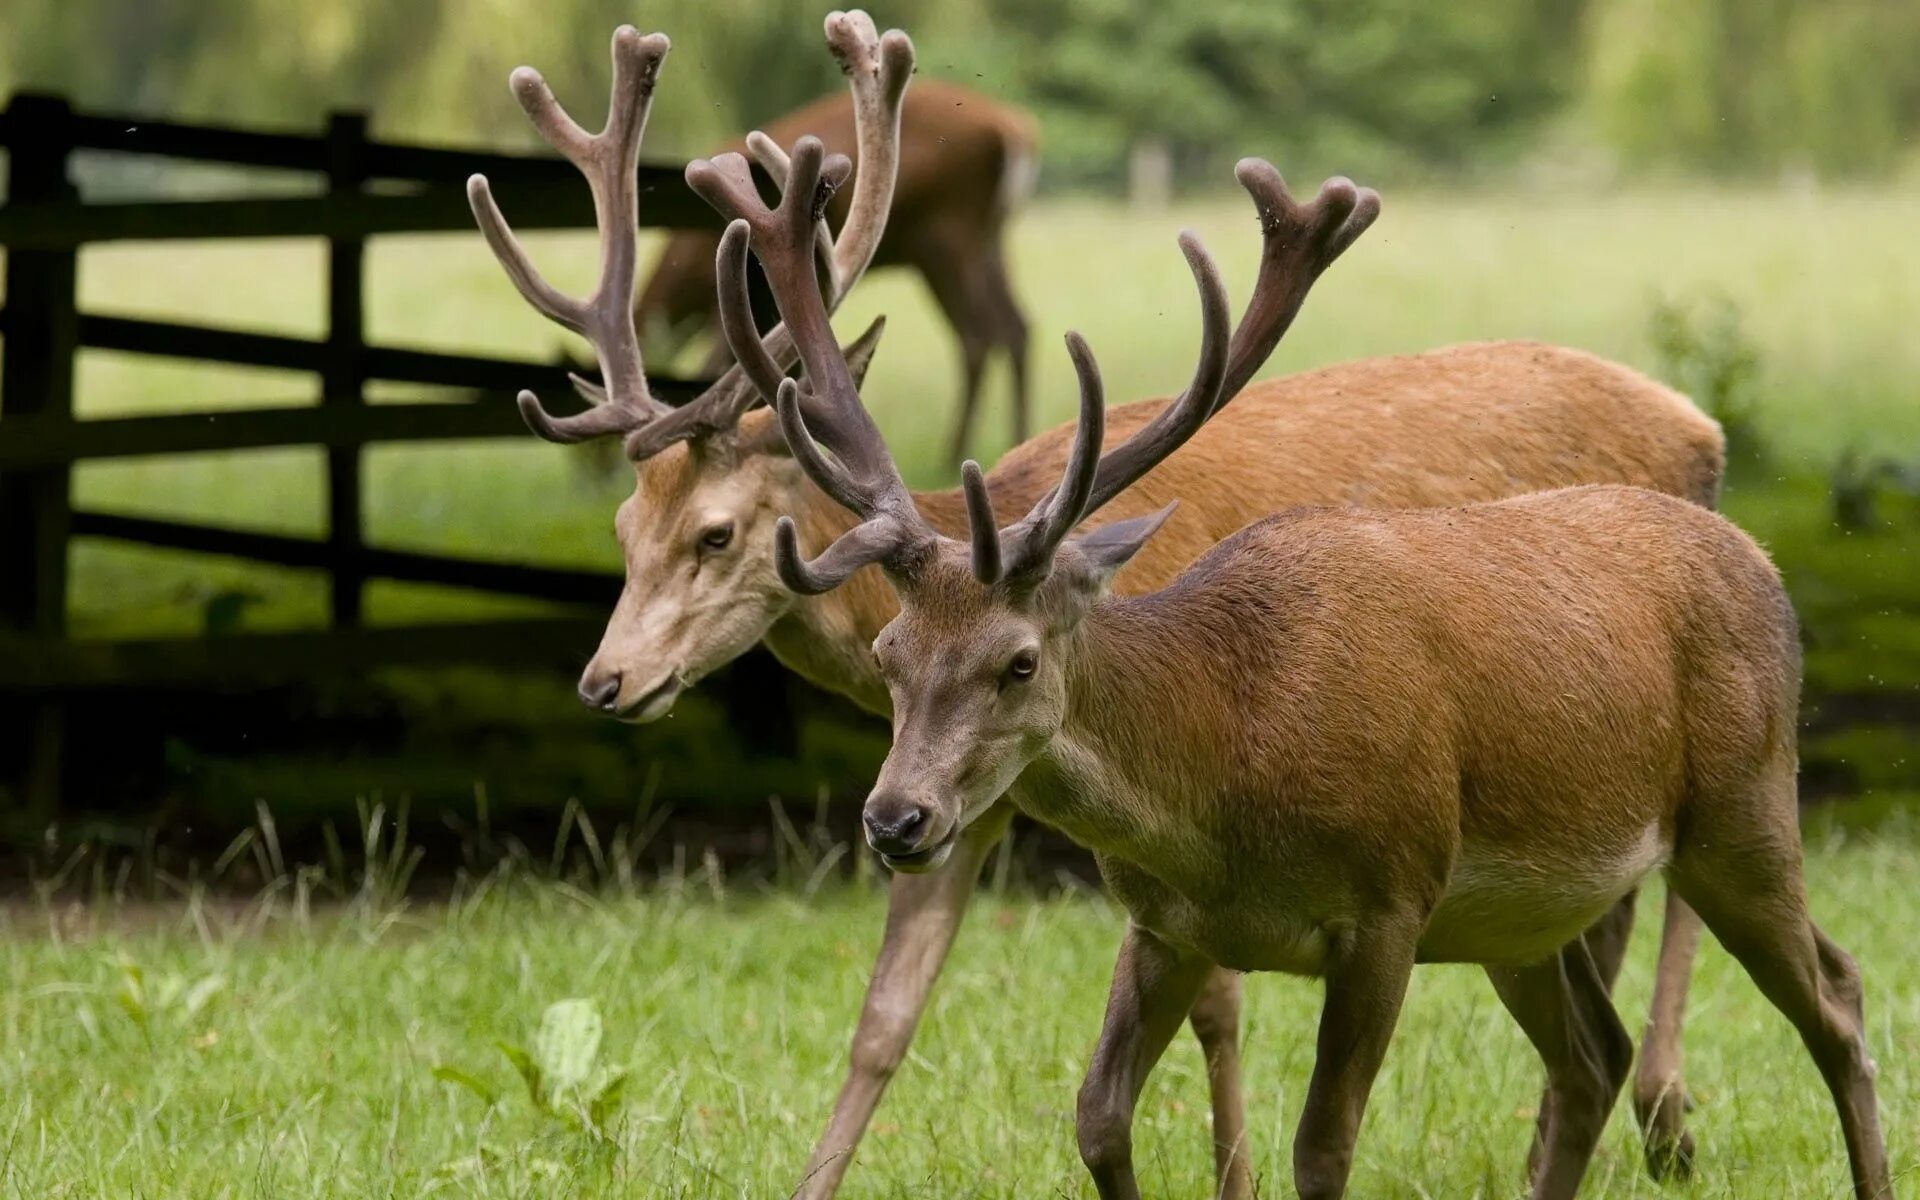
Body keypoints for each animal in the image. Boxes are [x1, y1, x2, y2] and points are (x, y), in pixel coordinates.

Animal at [633, 82, 1036, 466]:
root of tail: (1015, 132)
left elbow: (718, 361)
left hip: (947, 234)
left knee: (977, 333)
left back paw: (952, 455)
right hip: (990, 237)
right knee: (1015, 325)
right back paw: (1016, 440)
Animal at [695, 133, 1889, 1198]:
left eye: (1018, 662)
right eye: (891, 654)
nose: (895, 819)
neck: (1224, 776)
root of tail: (1760, 556)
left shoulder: (1390, 902)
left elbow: (1322, 1149)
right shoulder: (1164, 925)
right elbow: (1098, 1119)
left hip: (1744, 806)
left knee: (1836, 992)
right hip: (1523, 921)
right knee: (1592, 1057)